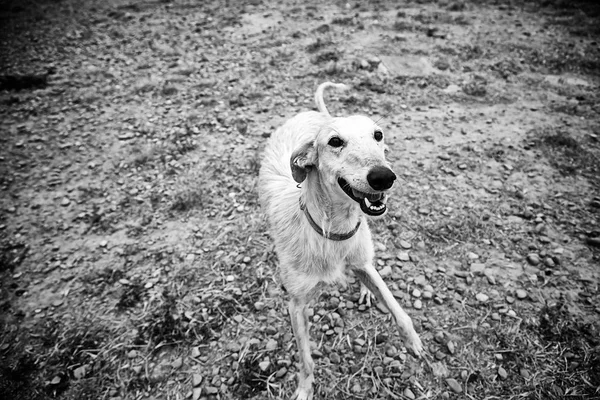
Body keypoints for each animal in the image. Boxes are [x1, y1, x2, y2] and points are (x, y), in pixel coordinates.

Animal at [256, 82, 422, 400]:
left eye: (378, 135)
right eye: (334, 141)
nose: (384, 177)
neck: (331, 232)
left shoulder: (363, 261)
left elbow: (395, 305)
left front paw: (413, 340)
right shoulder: (296, 304)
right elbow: (306, 358)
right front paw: (305, 389)